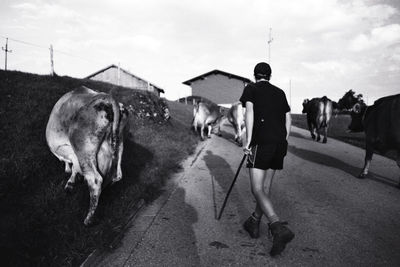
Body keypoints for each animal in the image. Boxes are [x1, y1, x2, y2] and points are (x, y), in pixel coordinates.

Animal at [46, 87, 129, 225]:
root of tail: (106, 98)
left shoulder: (69, 150)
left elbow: (74, 166)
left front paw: (70, 182)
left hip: (83, 148)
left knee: (95, 180)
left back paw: (88, 219)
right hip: (119, 144)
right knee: (117, 175)